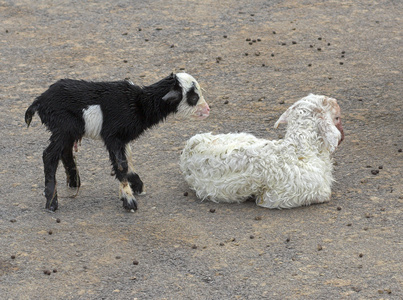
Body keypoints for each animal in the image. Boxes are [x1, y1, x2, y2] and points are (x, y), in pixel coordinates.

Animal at [181, 94, 346, 209]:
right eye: (337, 117)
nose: (342, 137)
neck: (299, 148)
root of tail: (190, 147)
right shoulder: (283, 196)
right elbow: (325, 194)